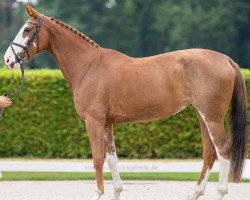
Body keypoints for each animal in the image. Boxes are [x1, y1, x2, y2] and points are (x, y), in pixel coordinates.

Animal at [4, 4, 248, 200]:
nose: (7, 59)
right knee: (209, 153)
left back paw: (220, 192)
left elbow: (97, 158)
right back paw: (196, 193)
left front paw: (98, 193)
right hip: (202, 115)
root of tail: (226, 59)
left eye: (27, 30)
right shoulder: (107, 124)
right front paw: (116, 192)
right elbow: (112, 157)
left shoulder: (93, 122)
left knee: (223, 150)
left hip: (212, 117)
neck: (88, 66)